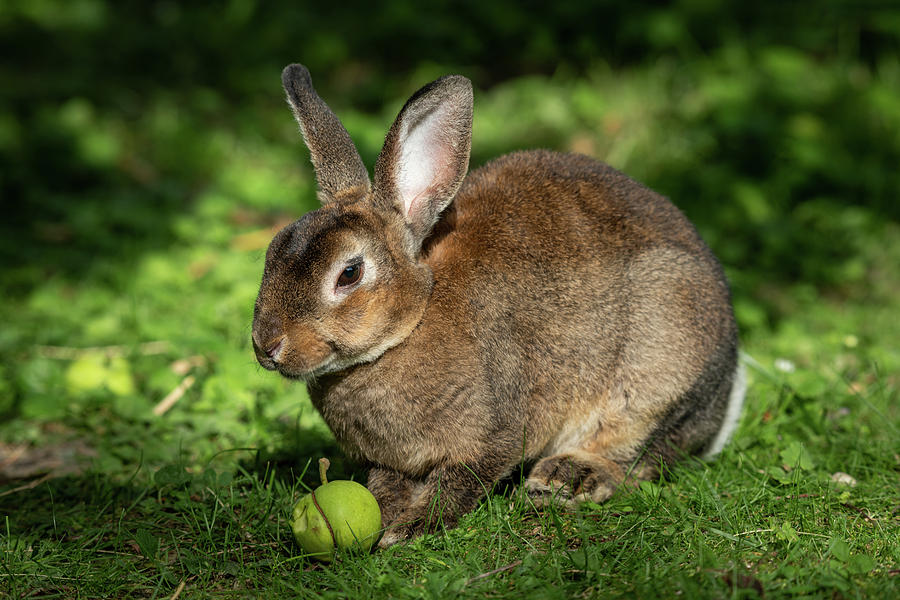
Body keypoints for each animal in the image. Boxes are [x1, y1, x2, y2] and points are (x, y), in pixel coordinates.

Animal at [251, 63, 744, 548]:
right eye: (273, 250)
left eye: (350, 273)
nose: (267, 346)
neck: (412, 322)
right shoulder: (392, 462)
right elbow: (386, 484)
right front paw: (387, 514)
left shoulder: (497, 430)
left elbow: (461, 481)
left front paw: (412, 528)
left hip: (660, 362)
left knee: (639, 455)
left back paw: (567, 478)